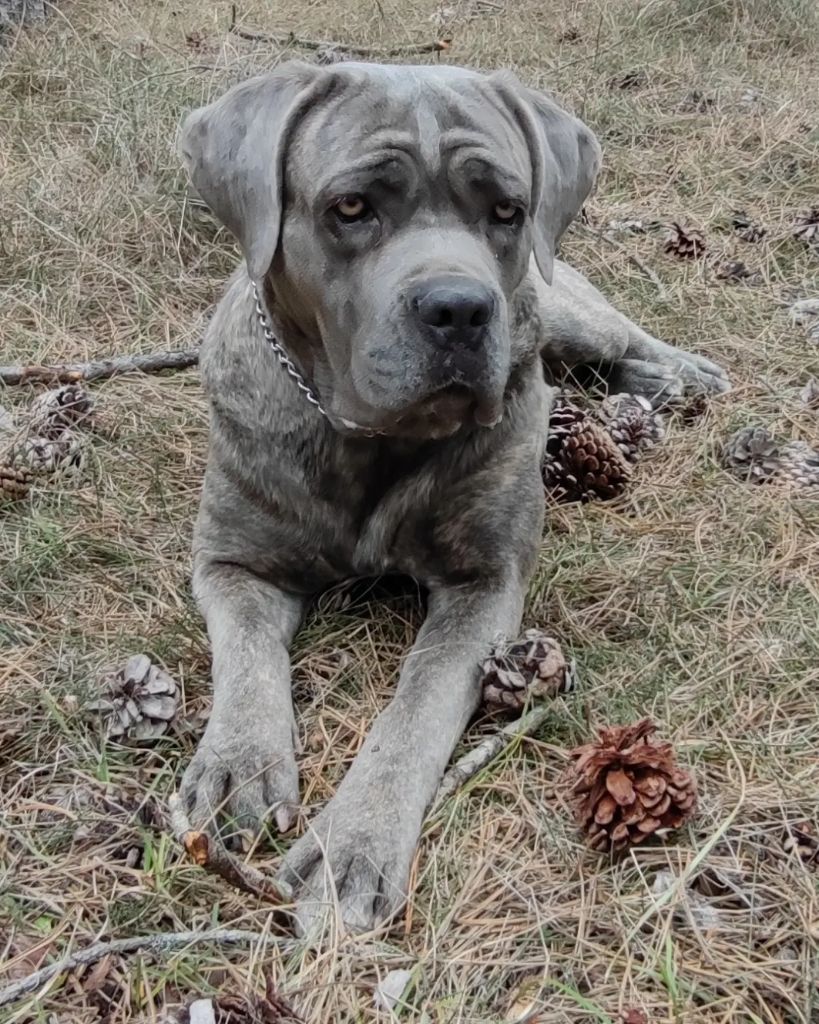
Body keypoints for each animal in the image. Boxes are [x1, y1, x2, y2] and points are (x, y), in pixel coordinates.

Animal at [177, 59, 728, 933]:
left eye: (506, 210)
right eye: (351, 207)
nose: (459, 307)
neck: (368, 440)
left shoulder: (481, 585)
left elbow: (418, 705)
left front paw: (351, 846)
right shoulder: (233, 563)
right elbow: (248, 662)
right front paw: (238, 764)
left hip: (560, 304)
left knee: (618, 333)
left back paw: (677, 372)